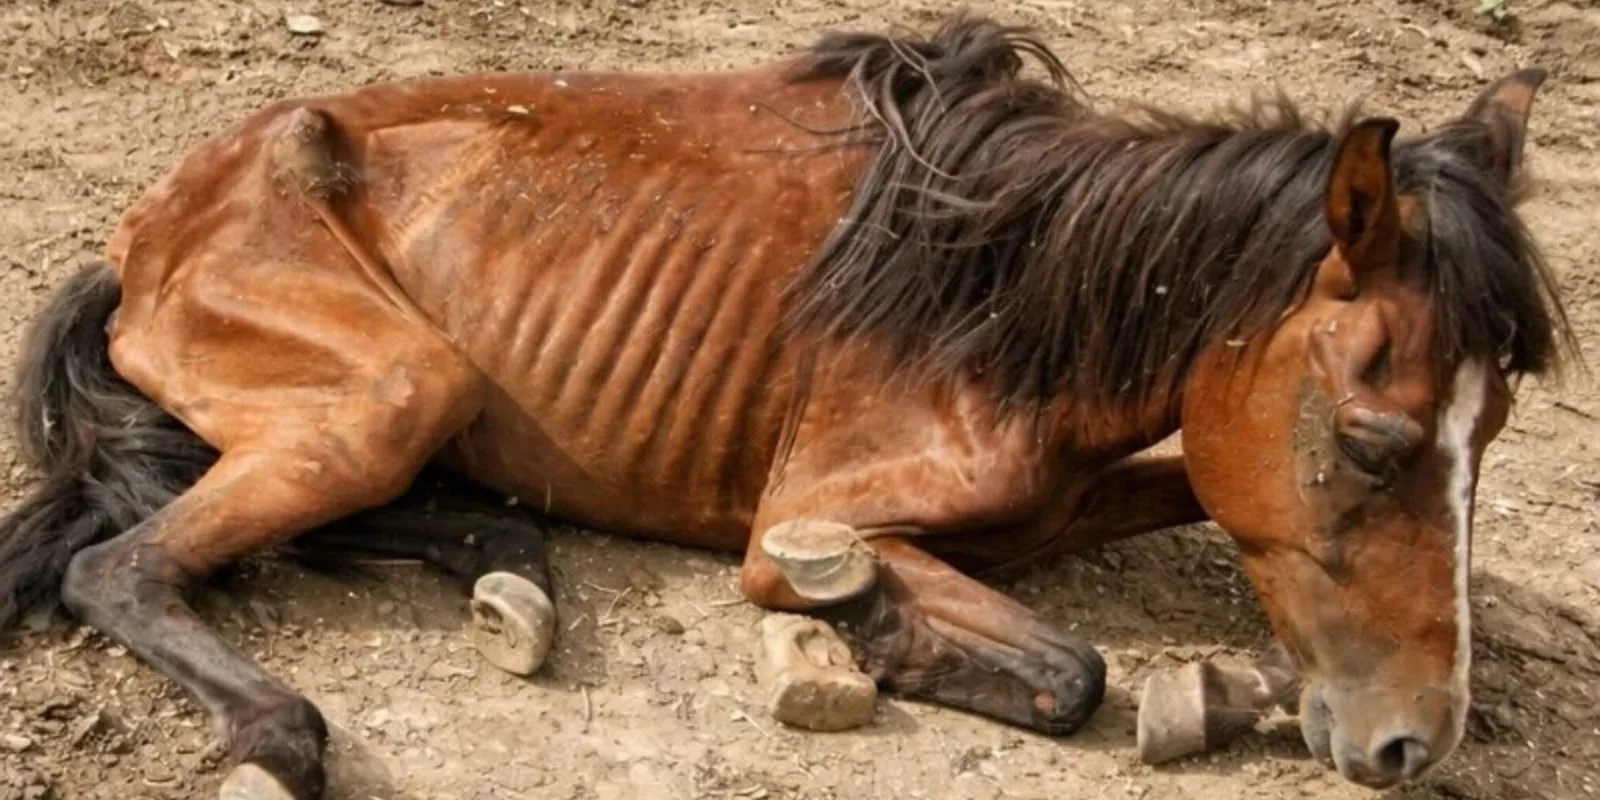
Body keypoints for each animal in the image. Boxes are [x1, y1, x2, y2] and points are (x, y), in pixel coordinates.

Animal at [0, 13, 1571, 799]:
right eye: (1371, 443)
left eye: (1489, 438)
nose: (1413, 744)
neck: (1004, 289)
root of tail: (148, 229)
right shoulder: (806, 515)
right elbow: (1068, 669)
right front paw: (862, 624)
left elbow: (1188, 496)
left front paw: (1230, 684)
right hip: (397, 389)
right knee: (121, 567)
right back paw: (285, 727)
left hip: (396, 410)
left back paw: (512, 575)